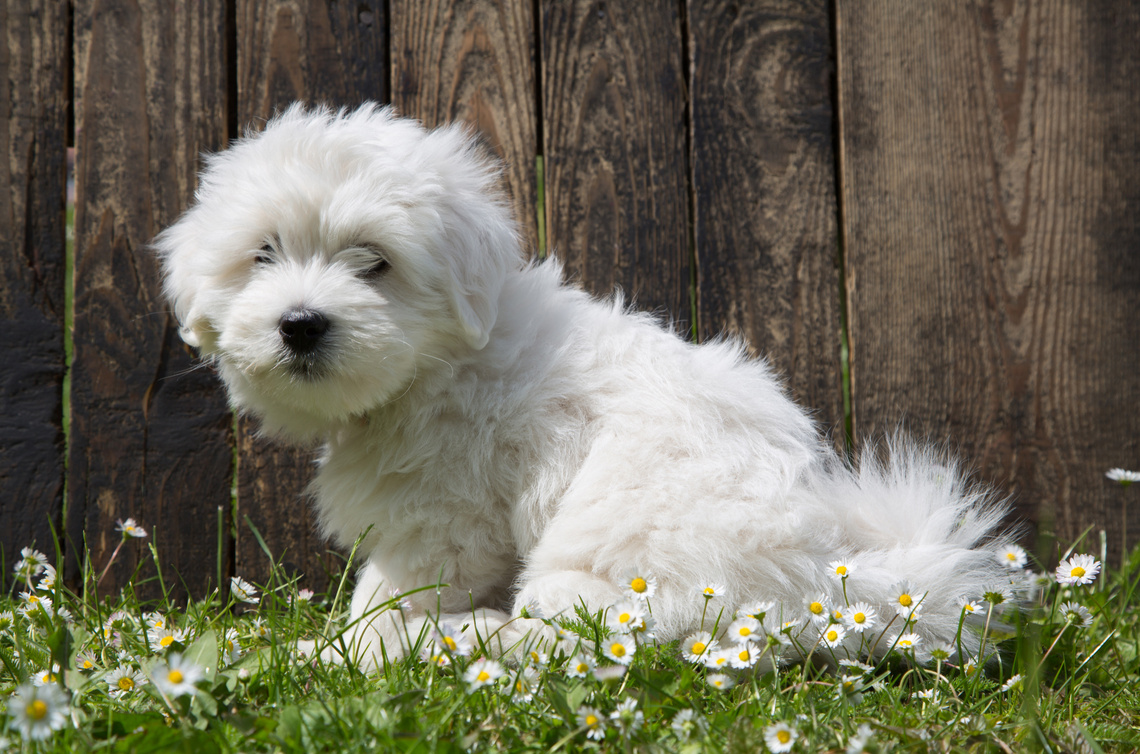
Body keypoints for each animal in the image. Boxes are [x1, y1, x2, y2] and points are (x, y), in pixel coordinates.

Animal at [158, 102, 1016, 666]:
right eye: (263, 254)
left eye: (376, 263)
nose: (302, 323)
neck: (441, 360)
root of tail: (840, 579)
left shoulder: (442, 517)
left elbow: (391, 591)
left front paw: (340, 652)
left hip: (629, 538)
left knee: (641, 629)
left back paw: (482, 633)